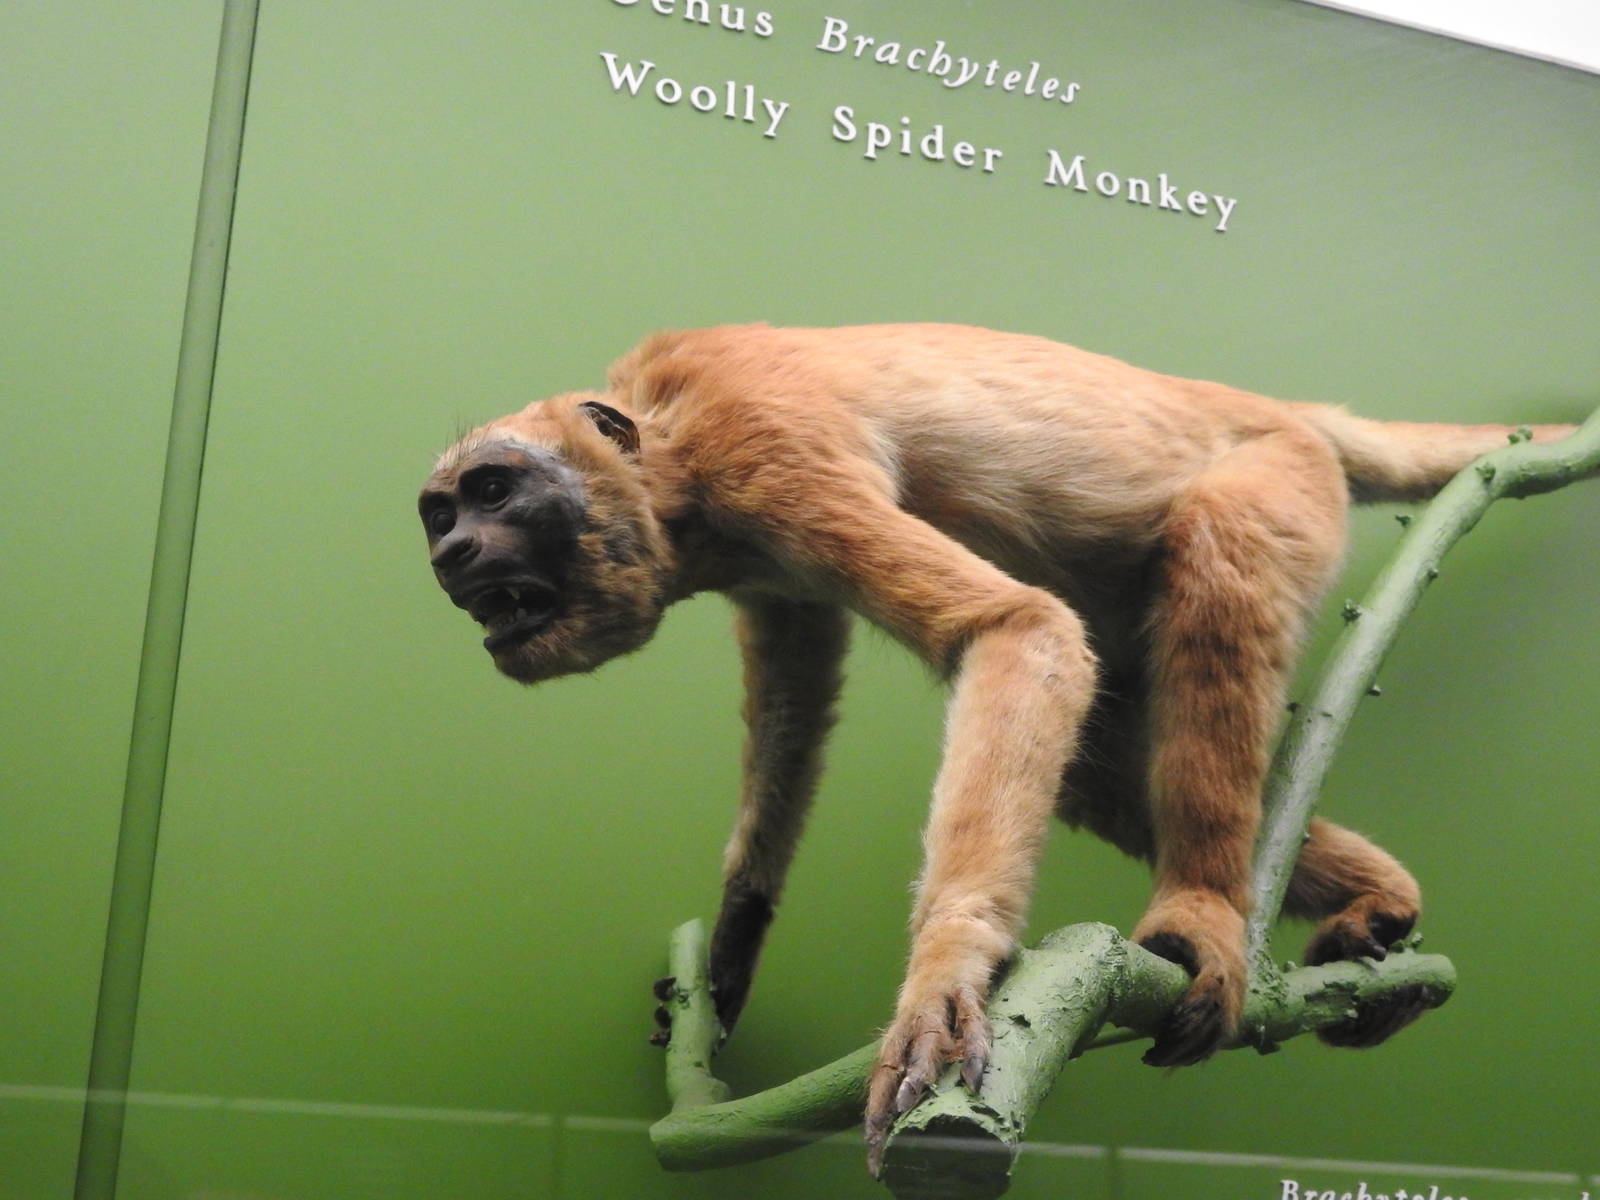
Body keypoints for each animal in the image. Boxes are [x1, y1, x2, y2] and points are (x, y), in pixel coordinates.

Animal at [417, 323, 1576, 1173]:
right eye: (440, 514)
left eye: (491, 493)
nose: (450, 555)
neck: (668, 443)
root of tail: (1276, 411)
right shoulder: (764, 560)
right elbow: (796, 701)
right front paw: (736, 944)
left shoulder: (768, 453)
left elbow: (1016, 630)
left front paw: (947, 968)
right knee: (1098, 759)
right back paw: (1377, 897)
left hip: (1282, 482)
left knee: (1216, 563)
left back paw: (1205, 912)